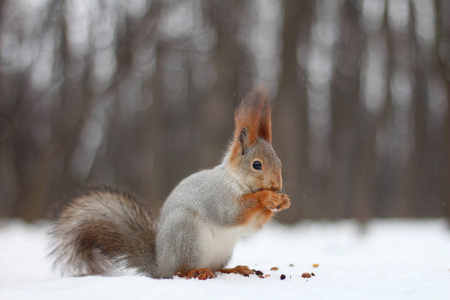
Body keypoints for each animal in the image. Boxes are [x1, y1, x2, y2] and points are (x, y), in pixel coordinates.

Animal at [48, 86, 288, 278]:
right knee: (179, 271)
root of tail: (160, 265)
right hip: (186, 233)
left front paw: (282, 201)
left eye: (279, 161)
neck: (237, 181)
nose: (277, 186)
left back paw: (234, 269)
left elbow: (249, 229)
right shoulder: (216, 196)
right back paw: (195, 271)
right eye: (256, 165)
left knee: (216, 267)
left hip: (222, 250)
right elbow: (231, 214)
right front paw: (266, 197)